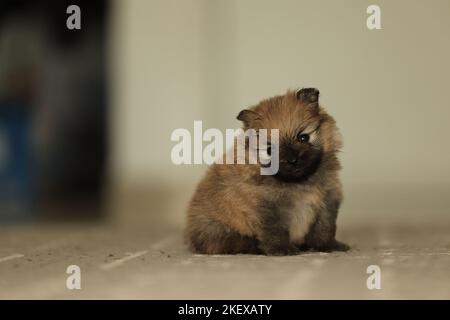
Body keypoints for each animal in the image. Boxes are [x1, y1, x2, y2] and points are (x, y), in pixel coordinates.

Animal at [185, 87, 350, 255]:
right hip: (217, 228)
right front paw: (281, 249)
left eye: (303, 138)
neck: (299, 182)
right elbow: (275, 230)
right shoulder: (267, 207)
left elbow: (325, 227)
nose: (293, 160)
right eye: (270, 150)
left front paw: (328, 246)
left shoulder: (327, 200)